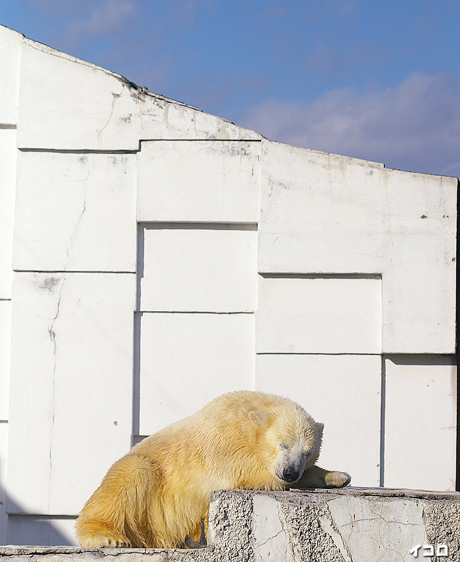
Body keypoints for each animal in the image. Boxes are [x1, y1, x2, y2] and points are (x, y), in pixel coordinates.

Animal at [75, 390, 350, 548]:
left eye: (307, 452)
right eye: (283, 444)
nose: (290, 472)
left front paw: (338, 476)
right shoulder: (225, 442)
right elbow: (246, 474)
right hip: (150, 487)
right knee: (129, 478)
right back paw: (107, 537)